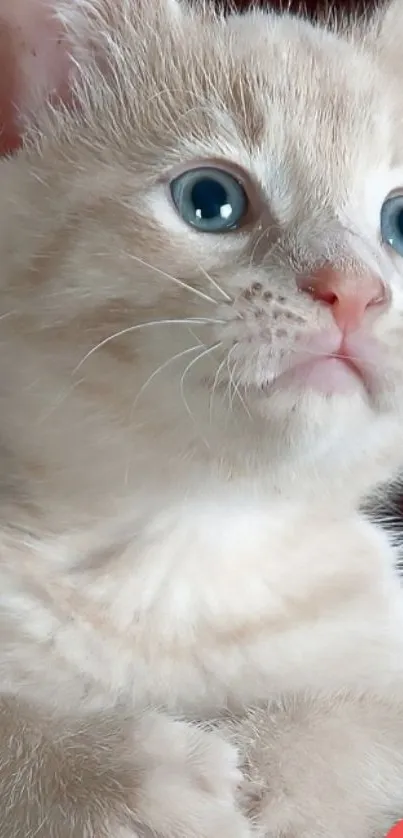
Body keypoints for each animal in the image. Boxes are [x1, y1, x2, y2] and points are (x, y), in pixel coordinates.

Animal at [0, 0, 403, 836]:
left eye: (399, 222)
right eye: (210, 201)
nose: (355, 289)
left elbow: (371, 720)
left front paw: (278, 770)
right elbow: (11, 727)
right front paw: (116, 776)